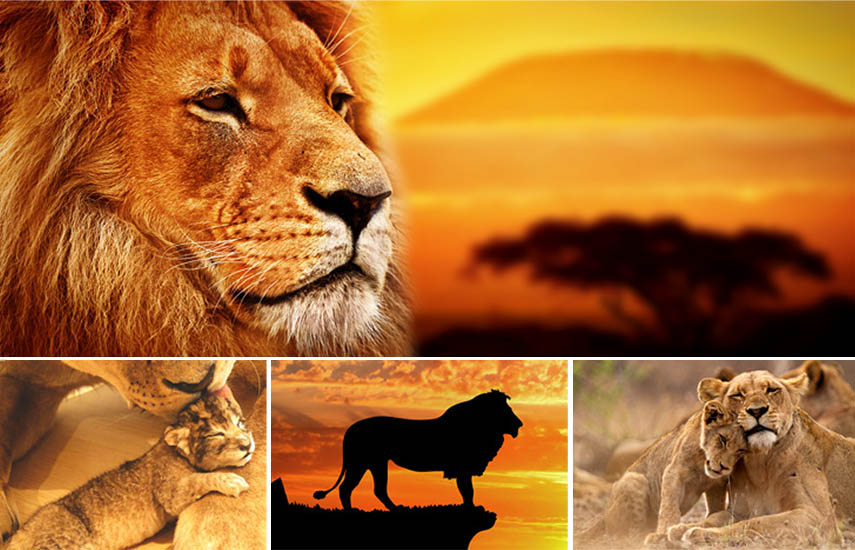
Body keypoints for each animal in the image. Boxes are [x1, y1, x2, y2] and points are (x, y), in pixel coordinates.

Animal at [313, 390, 523, 510]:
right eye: (505, 410)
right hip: (363, 463)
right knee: (347, 488)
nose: (519, 424)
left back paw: (397, 509)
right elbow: (467, 491)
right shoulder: (462, 468)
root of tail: (350, 430)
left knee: (375, 490)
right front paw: (471, 509)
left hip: (373, 463)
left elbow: (467, 491)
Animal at [577, 399, 746, 546]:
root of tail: (604, 515)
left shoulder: (717, 484)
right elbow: (669, 507)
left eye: (740, 450)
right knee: (626, 535)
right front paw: (662, 534)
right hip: (634, 479)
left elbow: (716, 507)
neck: (702, 462)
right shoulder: (673, 472)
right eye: (722, 439)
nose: (724, 467)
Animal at [674, 370, 855, 546]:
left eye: (772, 390)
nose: (757, 410)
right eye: (737, 395)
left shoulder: (819, 517)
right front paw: (682, 528)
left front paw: (700, 534)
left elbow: (755, 523)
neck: (760, 463)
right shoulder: (739, 511)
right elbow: (715, 517)